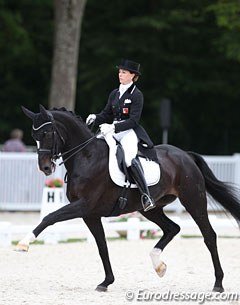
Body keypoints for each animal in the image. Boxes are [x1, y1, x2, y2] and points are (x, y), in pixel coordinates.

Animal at [15, 105, 239, 292]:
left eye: (46, 133)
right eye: (34, 136)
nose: (45, 168)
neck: (86, 157)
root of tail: (186, 155)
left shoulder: (84, 206)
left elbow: (49, 217)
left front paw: (24, 243)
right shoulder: (90, 214)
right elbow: (102, 246)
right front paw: (106, 282)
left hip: (193, 201)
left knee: (209, 236)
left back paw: (218, 283)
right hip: (150, 208)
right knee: (172, 228)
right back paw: (158, 265)